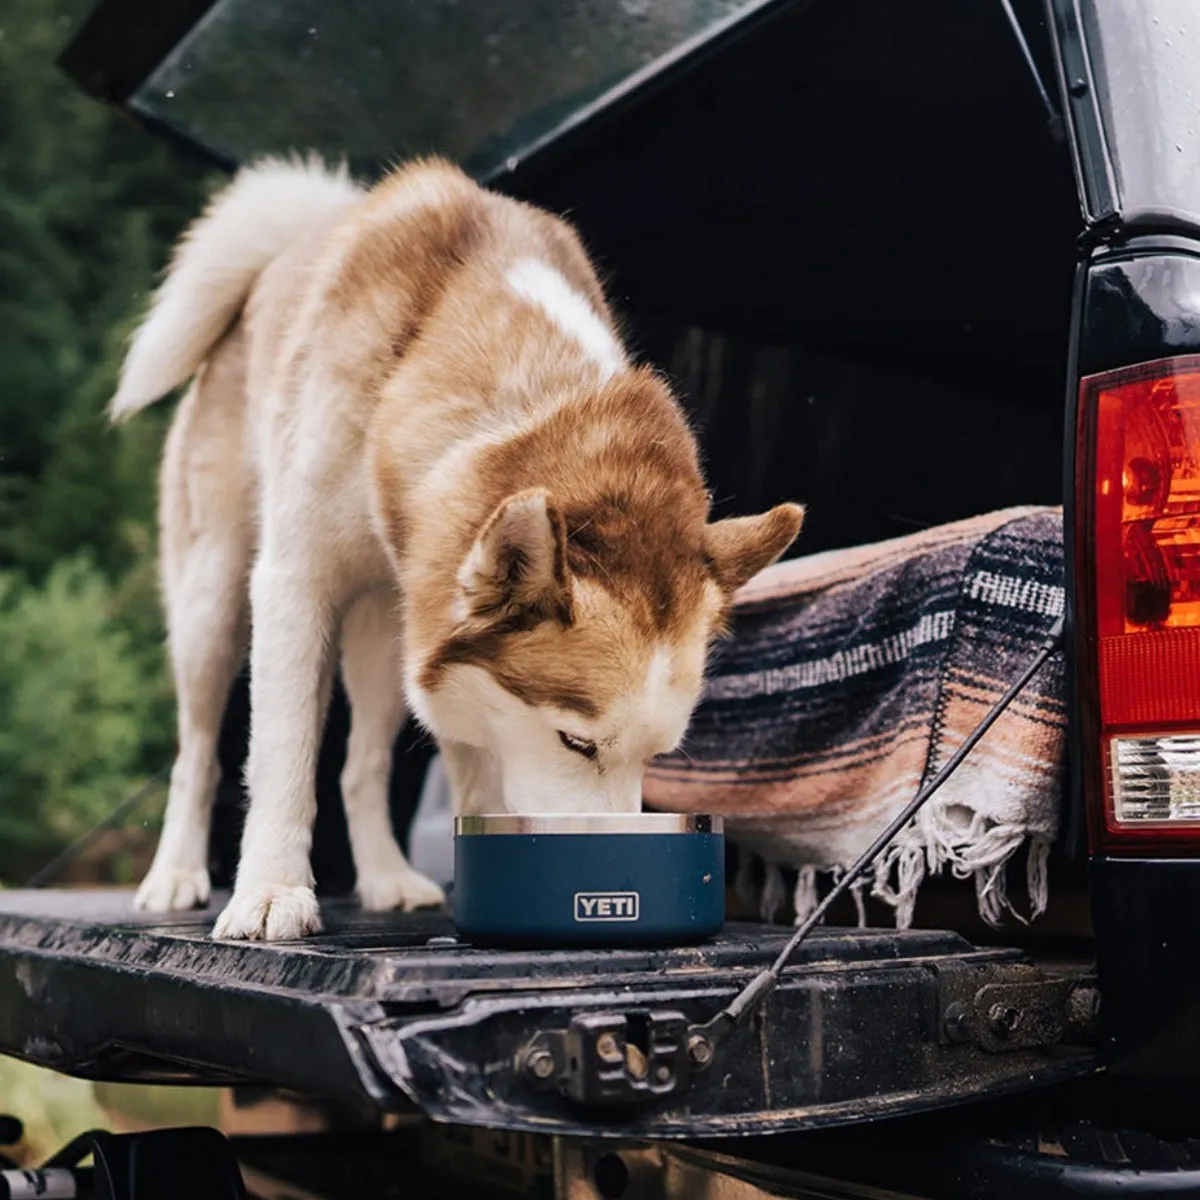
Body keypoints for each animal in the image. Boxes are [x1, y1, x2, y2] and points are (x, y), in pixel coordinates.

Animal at [112, 154, 806, 936]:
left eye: (658, 755)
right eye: (576, 742)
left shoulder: (439, 629)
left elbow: (468, 765)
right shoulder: (295, 582)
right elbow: (284, 752)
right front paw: (270, 891)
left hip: (387, 632)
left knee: (362, 767)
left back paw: (386, 876)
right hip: (211, 603)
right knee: (196, 752)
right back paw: (175, 874)